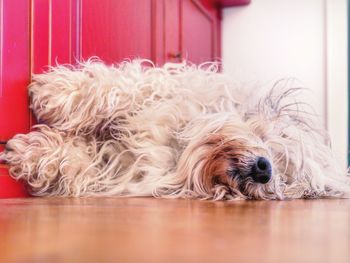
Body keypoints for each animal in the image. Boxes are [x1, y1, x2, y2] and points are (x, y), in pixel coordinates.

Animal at [0, 59, 350, 200]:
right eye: (266, 140)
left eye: (287, 180)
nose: (265, 170)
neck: (183, 155)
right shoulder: (164, 97)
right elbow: (119, 87)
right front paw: (54, 92)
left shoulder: (117, 167)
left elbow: (75, 161)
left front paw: (31, 154)